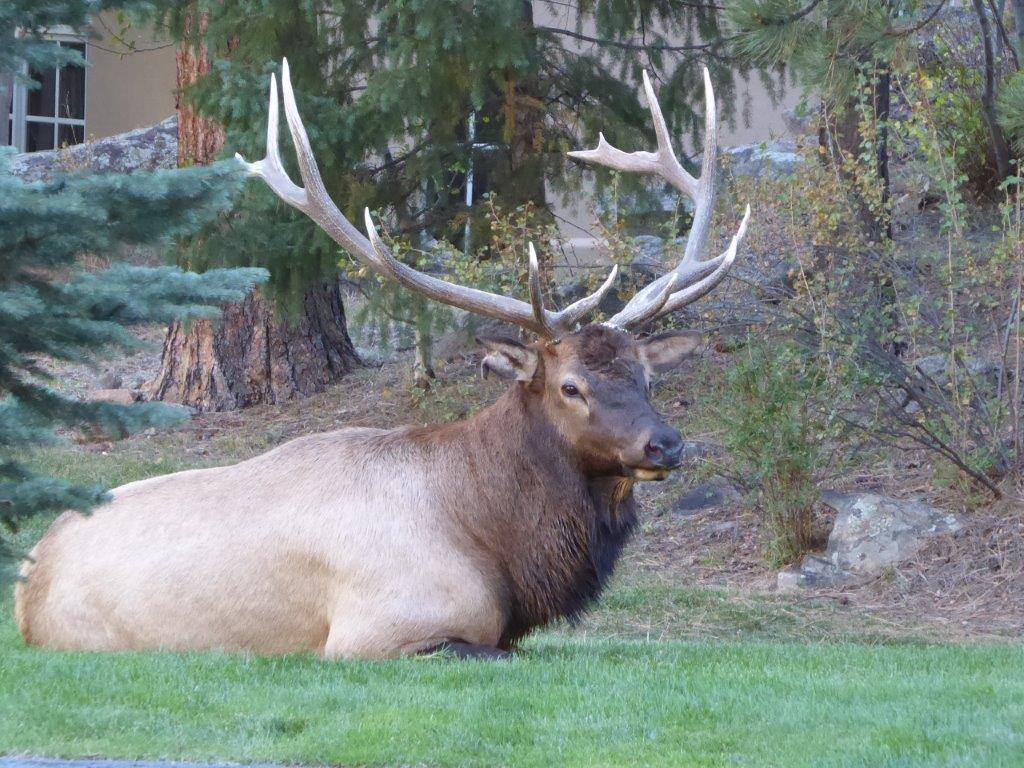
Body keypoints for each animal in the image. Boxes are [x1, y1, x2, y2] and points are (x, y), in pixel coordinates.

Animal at [16, 60, 749, 663]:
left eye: (646, 376)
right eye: (570, 386)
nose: (665, 443)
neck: (498, 546)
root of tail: (26, 581)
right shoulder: (380, 634)